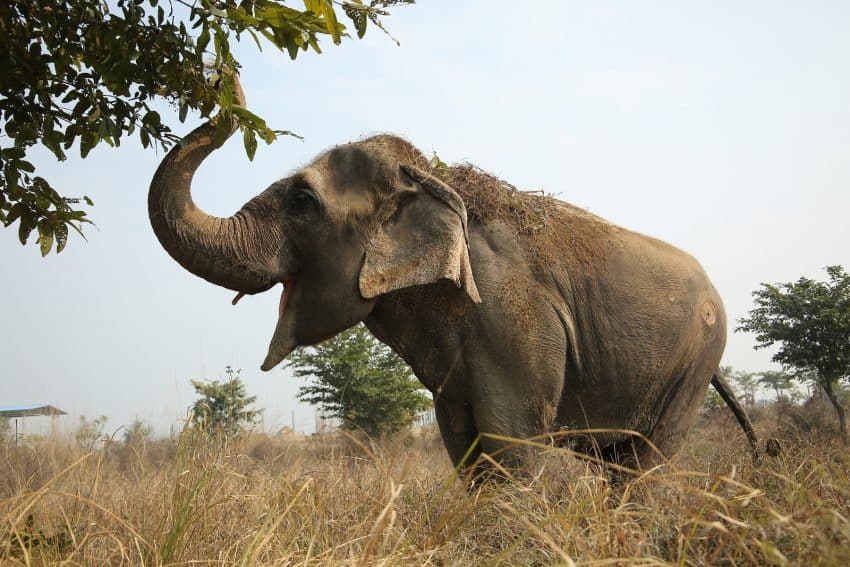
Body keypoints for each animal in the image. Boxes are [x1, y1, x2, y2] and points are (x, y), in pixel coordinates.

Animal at [149, 83, 760, 474]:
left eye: (302, 200)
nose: (224, 75)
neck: (431, 179)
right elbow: (464, 449)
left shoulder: (516, 319)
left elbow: (512, 446)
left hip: (695, 361)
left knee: (644, 465)